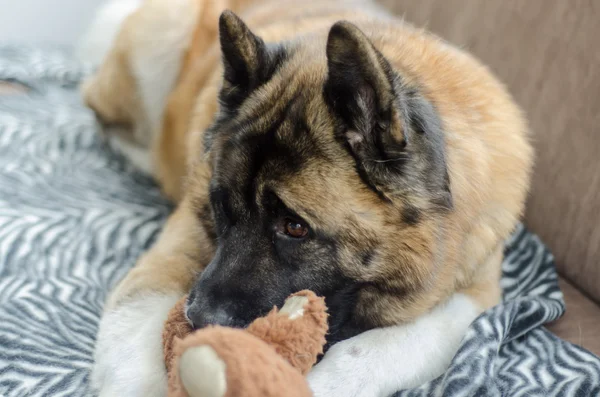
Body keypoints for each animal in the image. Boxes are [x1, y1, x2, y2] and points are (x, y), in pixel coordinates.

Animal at [81, 1, 536, 394]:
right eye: (220, 208)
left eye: (295, 227)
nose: (198, 318)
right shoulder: (171, 258)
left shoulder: (474, 299)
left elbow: (370, 350)